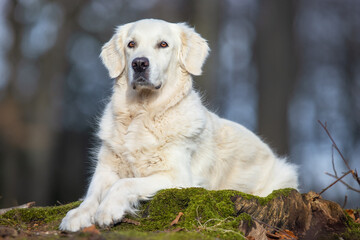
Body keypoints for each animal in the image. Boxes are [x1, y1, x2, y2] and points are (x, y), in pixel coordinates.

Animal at [60, 19, 300, 232]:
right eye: (131, 44)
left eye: (163, 44)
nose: (139, 63)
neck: (142, 113)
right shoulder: (106, 167)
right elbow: (92, 193)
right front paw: (77, 215)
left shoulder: (178, 177)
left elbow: (124, 183)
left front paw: (108, 210)